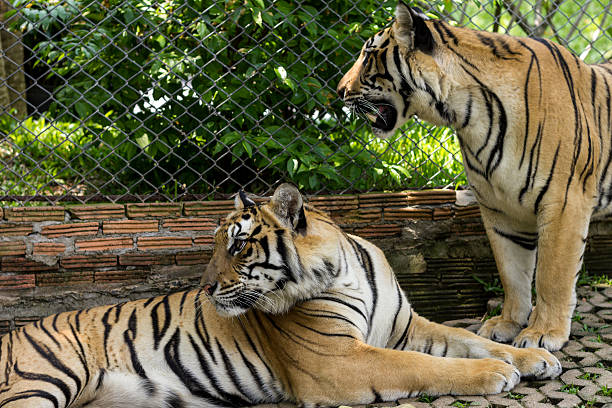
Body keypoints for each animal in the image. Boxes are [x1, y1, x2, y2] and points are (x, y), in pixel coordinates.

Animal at [0, 183, 560, 406]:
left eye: (238, 245)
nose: (204, 287)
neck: (343, 271)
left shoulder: (408, 327)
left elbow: (469, 339)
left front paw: (533, 358)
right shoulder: (338, 359)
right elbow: (428, 366)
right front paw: (493, 374)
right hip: (42, 380)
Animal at [338, 0, 612, 350]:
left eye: (369, 55)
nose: (340, 90)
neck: (467, 115)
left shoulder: (564, 202)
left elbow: (552, 276)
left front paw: (542, 333)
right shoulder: (499, 208)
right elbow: (512, 272)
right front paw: (507, 324)